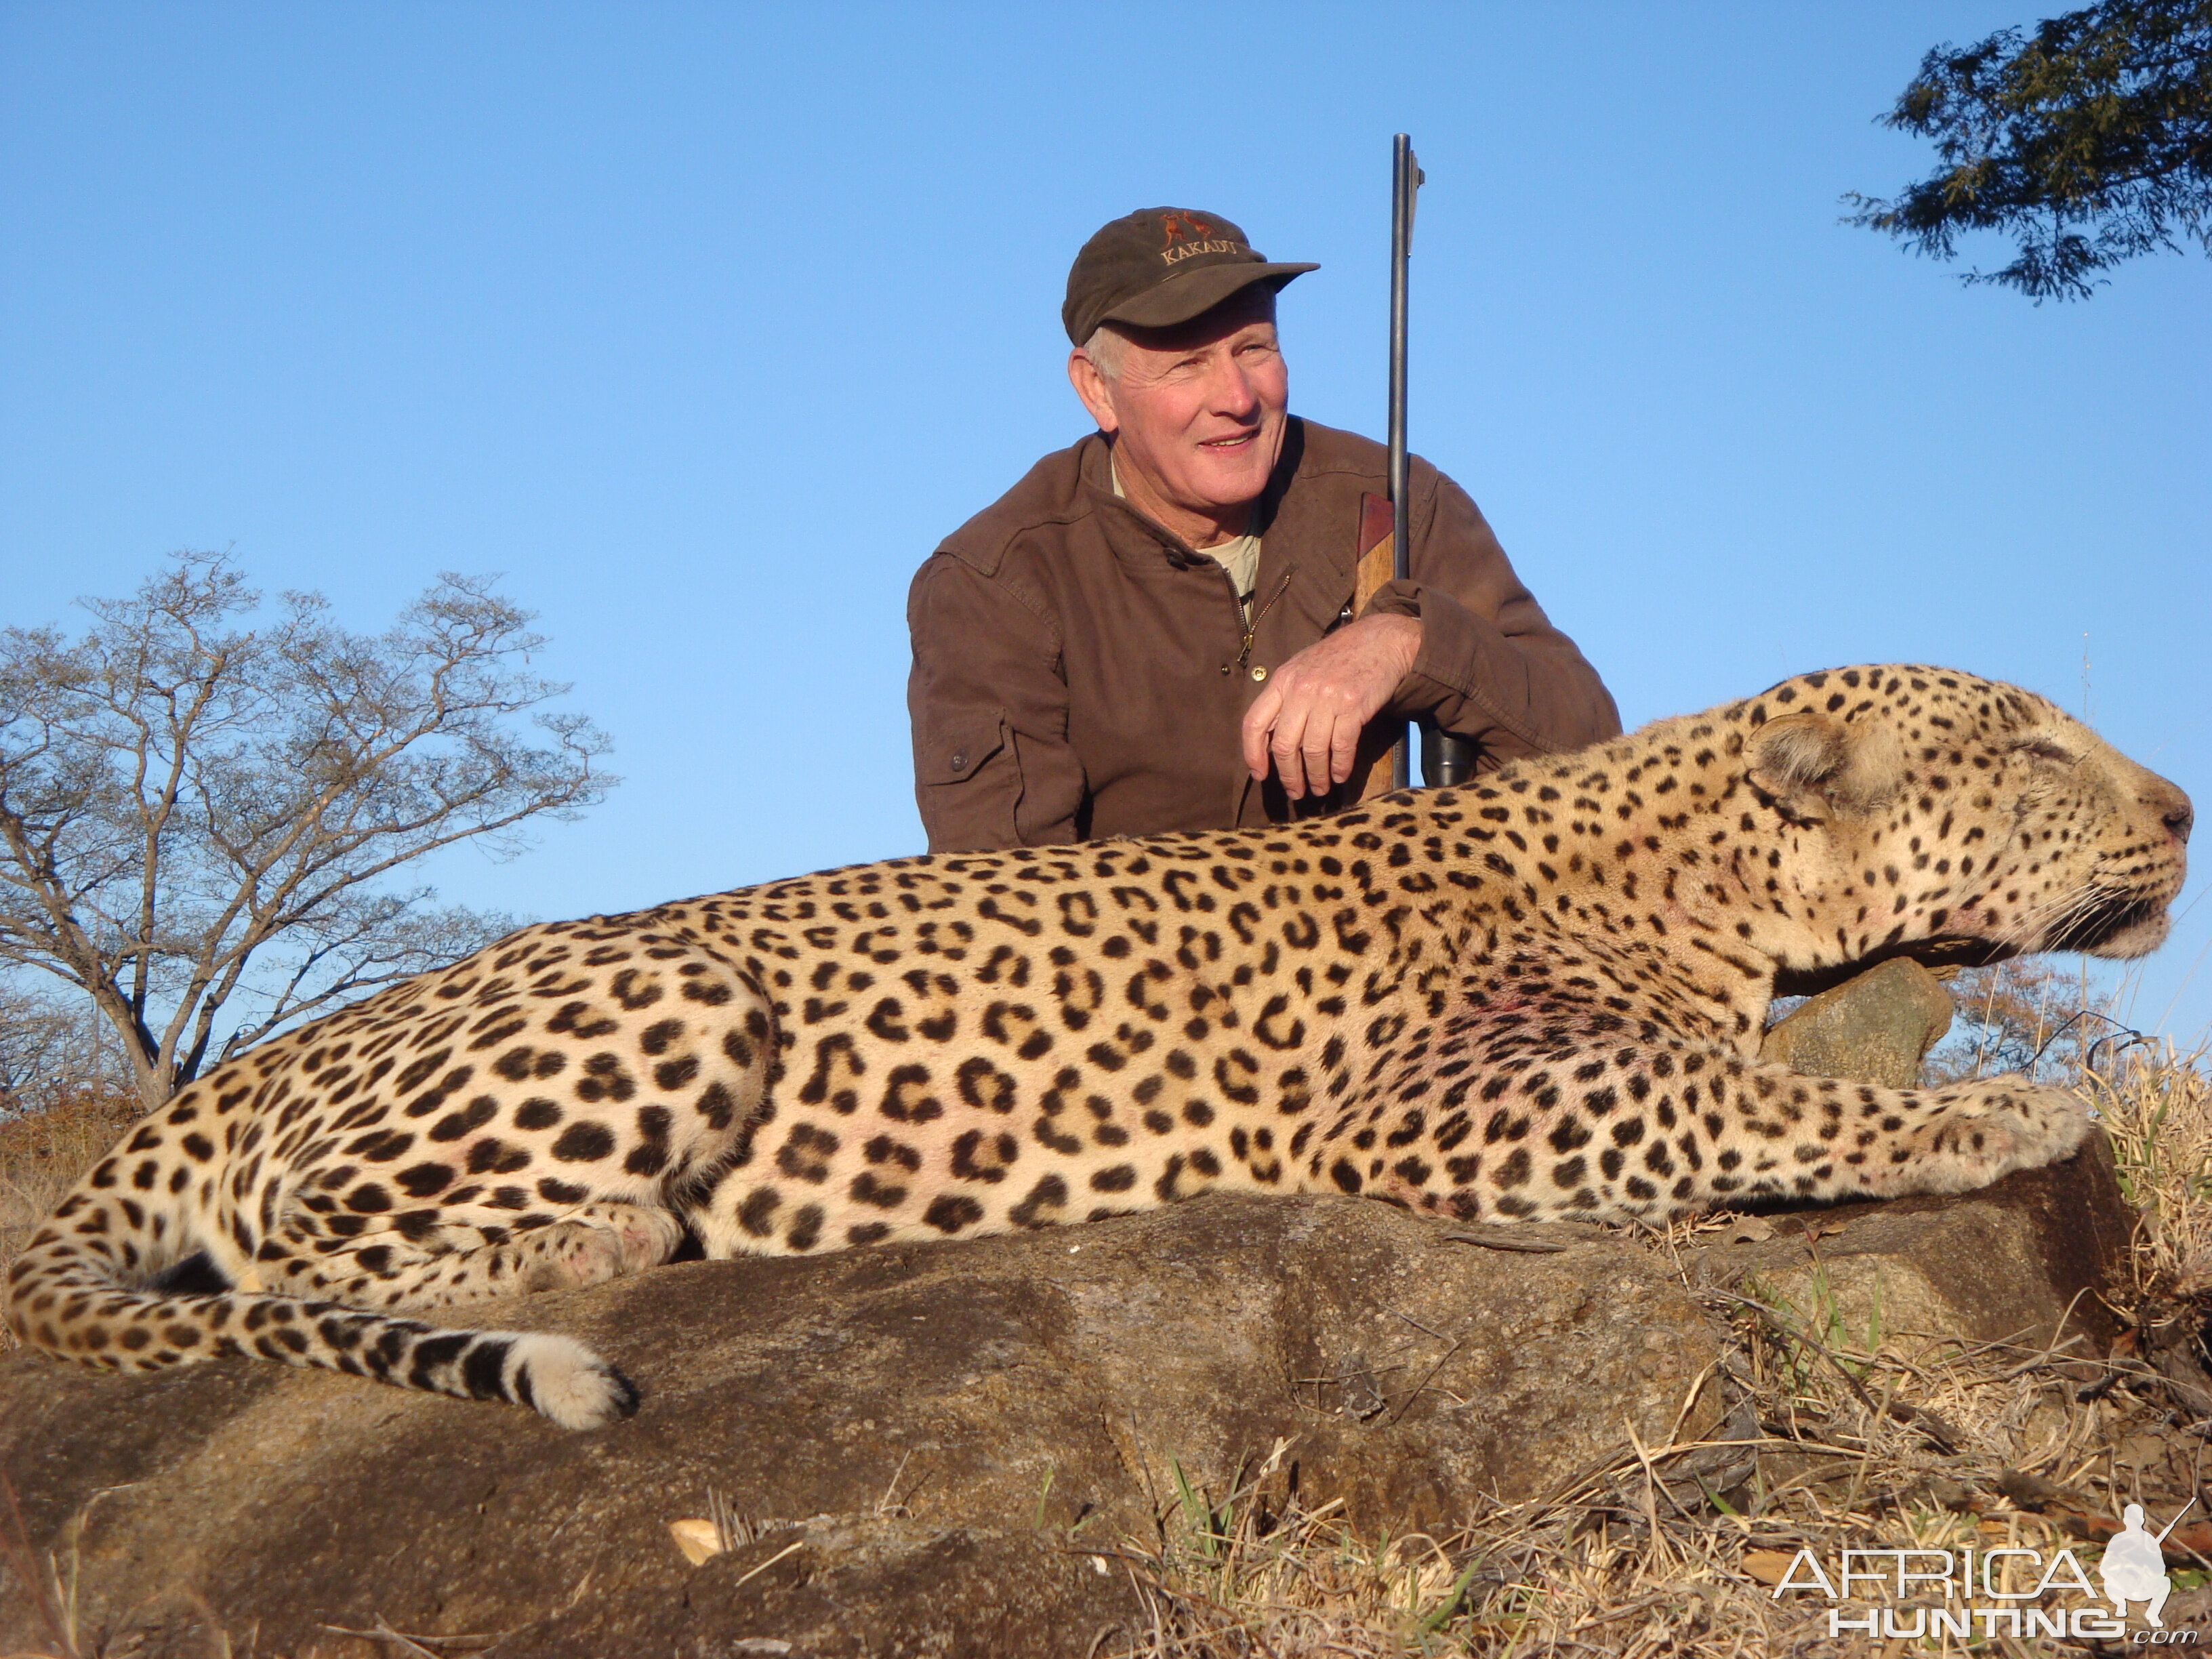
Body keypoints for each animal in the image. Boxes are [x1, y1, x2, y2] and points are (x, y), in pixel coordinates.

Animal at [6, 666, 2191, 1429]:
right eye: (2028, 743)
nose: (2182, 806)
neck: (1709, 872)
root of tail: (248, 1059)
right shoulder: (1435, 1104)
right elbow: (1730, 1086)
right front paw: (2004, 1104)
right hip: (671, 997)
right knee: (295, 1250)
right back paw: (607, 1243)